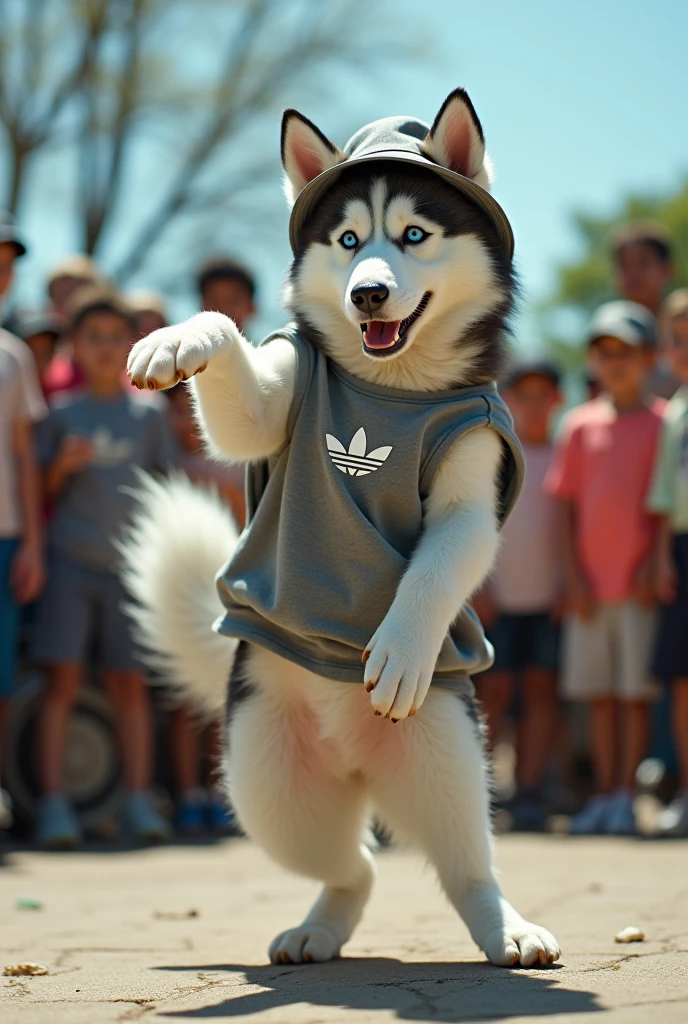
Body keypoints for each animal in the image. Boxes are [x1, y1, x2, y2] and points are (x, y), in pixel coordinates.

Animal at [123, 86, 561, 966]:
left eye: (415, 235)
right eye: (349, 240)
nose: (366, 294)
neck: (395, 387)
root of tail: (356, 759)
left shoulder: (475, 477)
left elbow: (438, 565)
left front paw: (397, 648)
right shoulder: (282, 393)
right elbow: (235, 369)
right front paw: (177, 335)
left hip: (446, 752)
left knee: (466, 862)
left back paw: (507, 928)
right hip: (263, 777)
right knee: (352, 863)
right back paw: (319, 926)